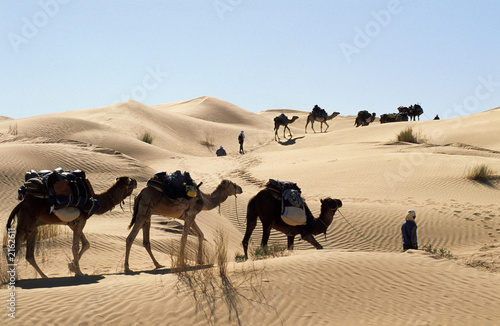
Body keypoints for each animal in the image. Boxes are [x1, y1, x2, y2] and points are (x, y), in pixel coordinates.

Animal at [6, 176, 139, 278]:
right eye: (130, 181)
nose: (136, 181)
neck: (96, 199)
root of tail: (21, 204)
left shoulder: (73, 223)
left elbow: (86, 244)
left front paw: (71, 266)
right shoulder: (82, 219)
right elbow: (75, 246)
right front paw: (79, 272)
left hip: (33, 226)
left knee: (29, 255)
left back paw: (44, 276)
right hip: (26, 223)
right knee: (13, 252)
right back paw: (13, 279)